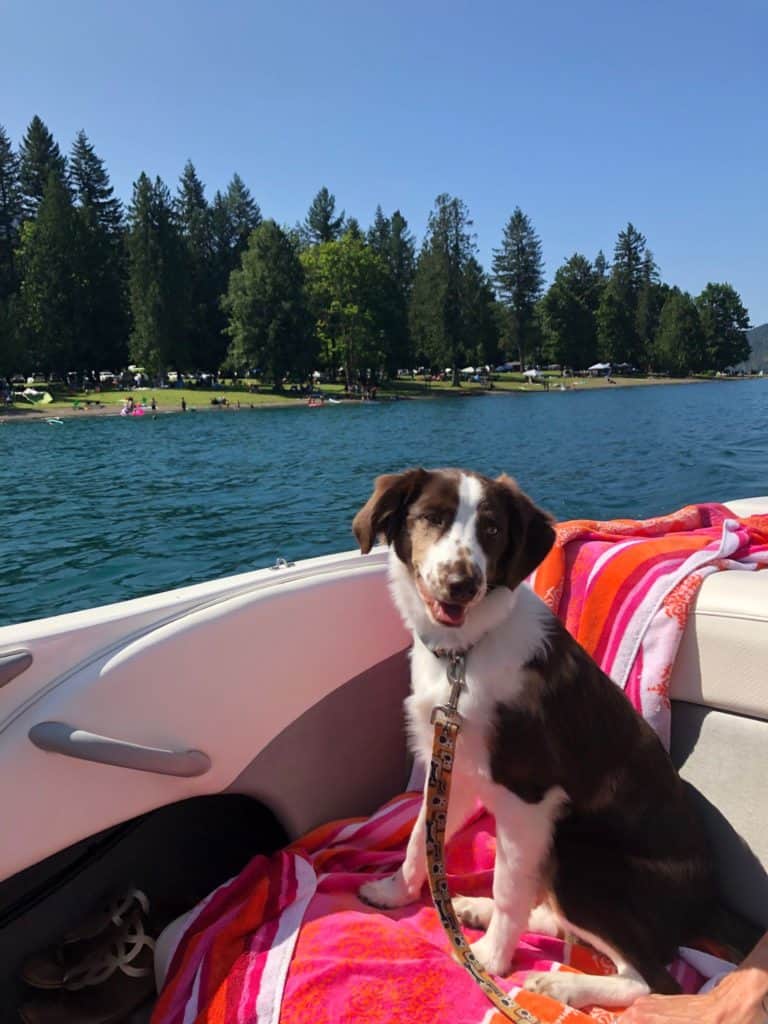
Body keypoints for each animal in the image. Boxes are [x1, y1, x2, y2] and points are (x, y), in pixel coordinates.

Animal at [354, 466, 716, 1007]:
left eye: (492, 530)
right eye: (432, 518)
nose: (462, 585)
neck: (466, 653)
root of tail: (705, 908)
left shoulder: (528, 799)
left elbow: (508, 887)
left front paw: (488, 961)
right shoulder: (457, 772)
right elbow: (421, 837)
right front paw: (394, 892)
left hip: (578, 857)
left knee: (656, 983)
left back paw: (560, 982)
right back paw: (479, 911)